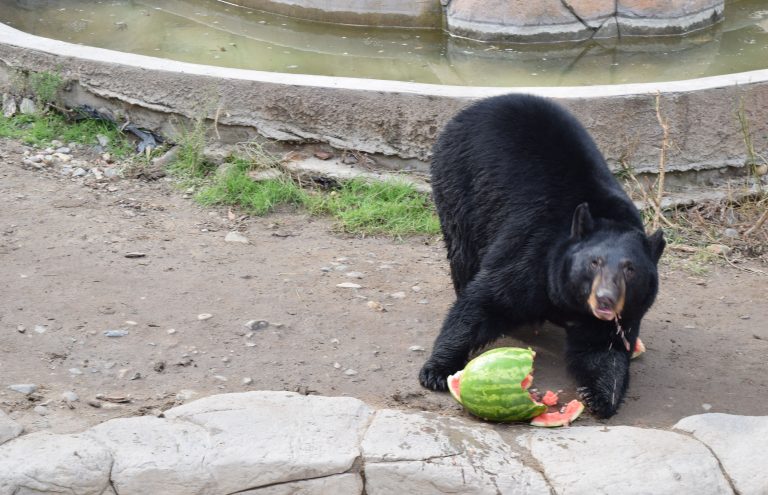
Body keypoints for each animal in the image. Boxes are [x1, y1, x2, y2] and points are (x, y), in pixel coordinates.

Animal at [420, 94, 664, 418]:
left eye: (630, 269)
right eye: (594, 262)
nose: (606, 299)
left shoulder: (623, 310)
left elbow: (603, 345)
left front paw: (601, 396)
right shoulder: (534, 251)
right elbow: (487, 298)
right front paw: (436, 370)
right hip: (459, 185)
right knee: (463, 251)